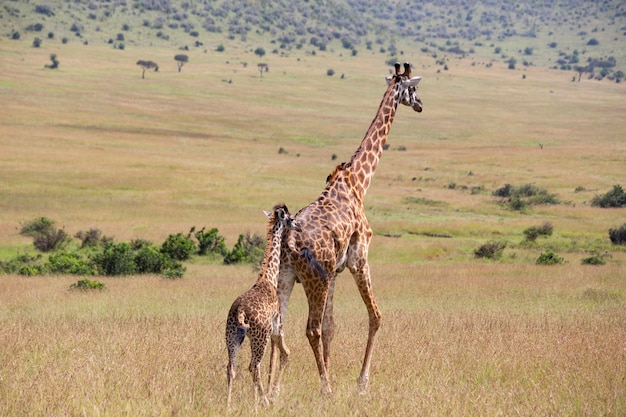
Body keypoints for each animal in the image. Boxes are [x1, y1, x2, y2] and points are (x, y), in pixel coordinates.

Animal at [224, 203, 300, 408]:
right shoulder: (277, 327)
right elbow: (286, 353)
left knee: (231, 368)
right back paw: (265, 401)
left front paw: (256, 399)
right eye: (290, 218)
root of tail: (240, 312)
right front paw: (270, 396)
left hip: (232, 336)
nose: (298, 226)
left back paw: (228, 404)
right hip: (260, 337)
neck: (269, 278)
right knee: (253, 366)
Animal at [270, 60, 422, 394]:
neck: (359, 182)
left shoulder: (336, 272)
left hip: (286, 277)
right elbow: (375, 316)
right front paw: (361, 383)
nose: (420, 105)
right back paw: (325, 388)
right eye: (415, 87)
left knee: (278, 326)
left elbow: (331, 328)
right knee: (310, 329)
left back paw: (272, 389)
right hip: (314, 280)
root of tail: (288, 240)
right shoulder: (359, 259)